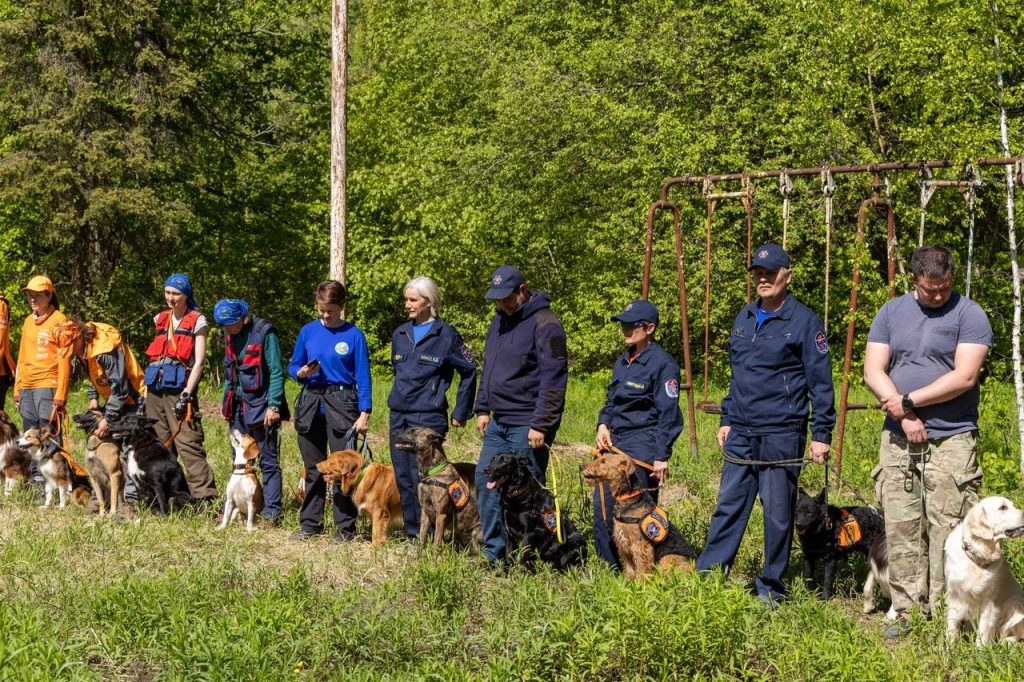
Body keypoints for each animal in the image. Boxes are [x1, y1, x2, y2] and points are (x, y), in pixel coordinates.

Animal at [942, 493, 1024, 643]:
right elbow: (952, 628)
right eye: (1003, 507)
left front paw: (981, 648)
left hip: (1016, 600)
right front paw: (949, 647)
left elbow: (983, 631)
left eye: (1013, 505)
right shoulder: (954, 596)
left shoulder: (989, 602)